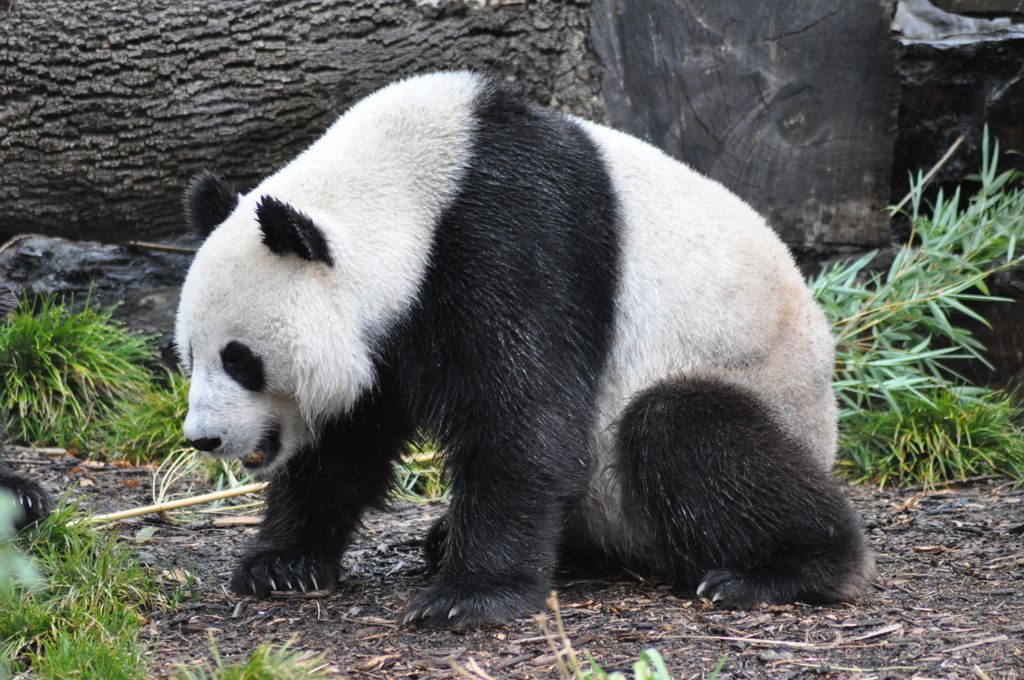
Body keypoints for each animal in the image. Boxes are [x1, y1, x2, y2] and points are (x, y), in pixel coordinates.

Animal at [176, 71, 872, 629]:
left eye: (239, 358)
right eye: (188, 357)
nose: (204, 439)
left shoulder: (512, 234)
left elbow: (523, 414)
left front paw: (468, 599)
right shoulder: (393, 329)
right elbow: (348, 438)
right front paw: (281, 565)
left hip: (759, 388)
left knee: (685, 429)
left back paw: (782, 570)